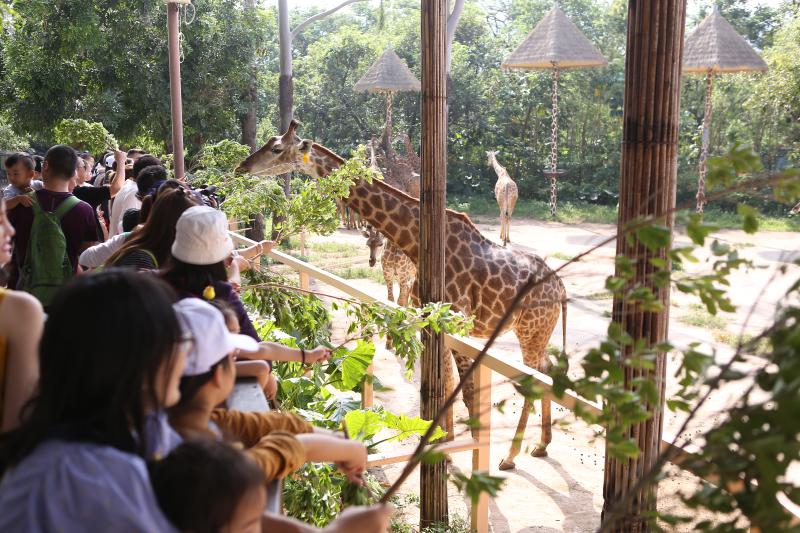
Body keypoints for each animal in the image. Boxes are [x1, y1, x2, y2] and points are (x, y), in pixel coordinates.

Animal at [237, 121, 568, 469]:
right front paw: (444, 442)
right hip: (535, 333)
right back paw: (541, 444)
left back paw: (510, 456)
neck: (415, 242)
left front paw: (461, 456)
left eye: (276, 148)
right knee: (548, 372)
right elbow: (445, 385)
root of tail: (561, 288)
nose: (242, 167)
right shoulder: (434, 322)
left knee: (535, 382)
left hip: (531, 331)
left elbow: (467, 393)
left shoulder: (457, 322)